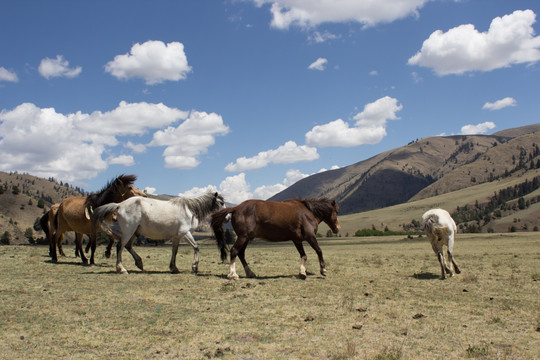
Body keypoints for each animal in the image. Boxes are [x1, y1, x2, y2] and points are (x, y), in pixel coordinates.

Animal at [93, 193, 226, 274]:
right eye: (221, 203)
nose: (227, 215)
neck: (190, 210)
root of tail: (119, 205)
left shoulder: (176, 237)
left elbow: (174, 251)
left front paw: (174, 268)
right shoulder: (185, 233)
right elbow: (196, 247)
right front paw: (194, 267)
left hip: (135, 232)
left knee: (128, 246)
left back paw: (139, 263)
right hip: (128, 231)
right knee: (120, 246)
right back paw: (121, 269)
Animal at [210, 198, 340, 280]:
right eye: (336, 211)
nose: (337, 229)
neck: (308, 213)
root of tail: (236, 208)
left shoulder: (297, 240)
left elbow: (304, 255)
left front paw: (302, 272)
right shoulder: (310, 236)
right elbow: (319, 251)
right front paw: (323, 270)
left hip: (246, 238)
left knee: (241, 253)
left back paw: (250, 273)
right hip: (243, 237)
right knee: (234, 251)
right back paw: (233, 274)